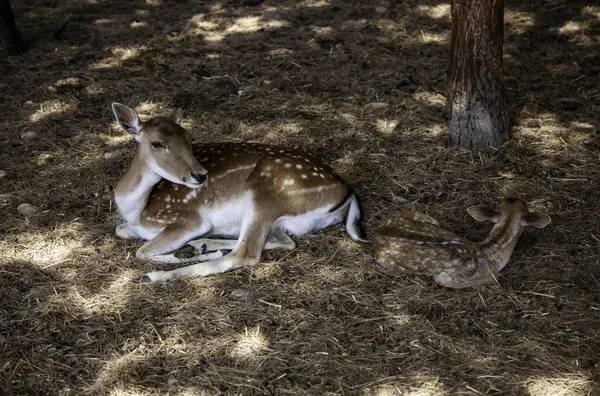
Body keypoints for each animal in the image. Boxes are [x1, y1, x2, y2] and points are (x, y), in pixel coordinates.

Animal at [112, 102, 366, 282]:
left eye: (189, 138)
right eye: (157, 143)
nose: (200, 175)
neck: (137, 211)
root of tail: (347, 190)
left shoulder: (188, 220)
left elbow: (142, 251)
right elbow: (120, 230)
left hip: (265, 191)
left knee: (246, 253)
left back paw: (154, 275)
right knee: (283, 242)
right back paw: (201, 244)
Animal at [372, 198, 552, 288]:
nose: (511, 197)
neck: (488, 252)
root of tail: (379, 231)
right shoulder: (450, 279)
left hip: (420, 216)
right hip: (388, 262)